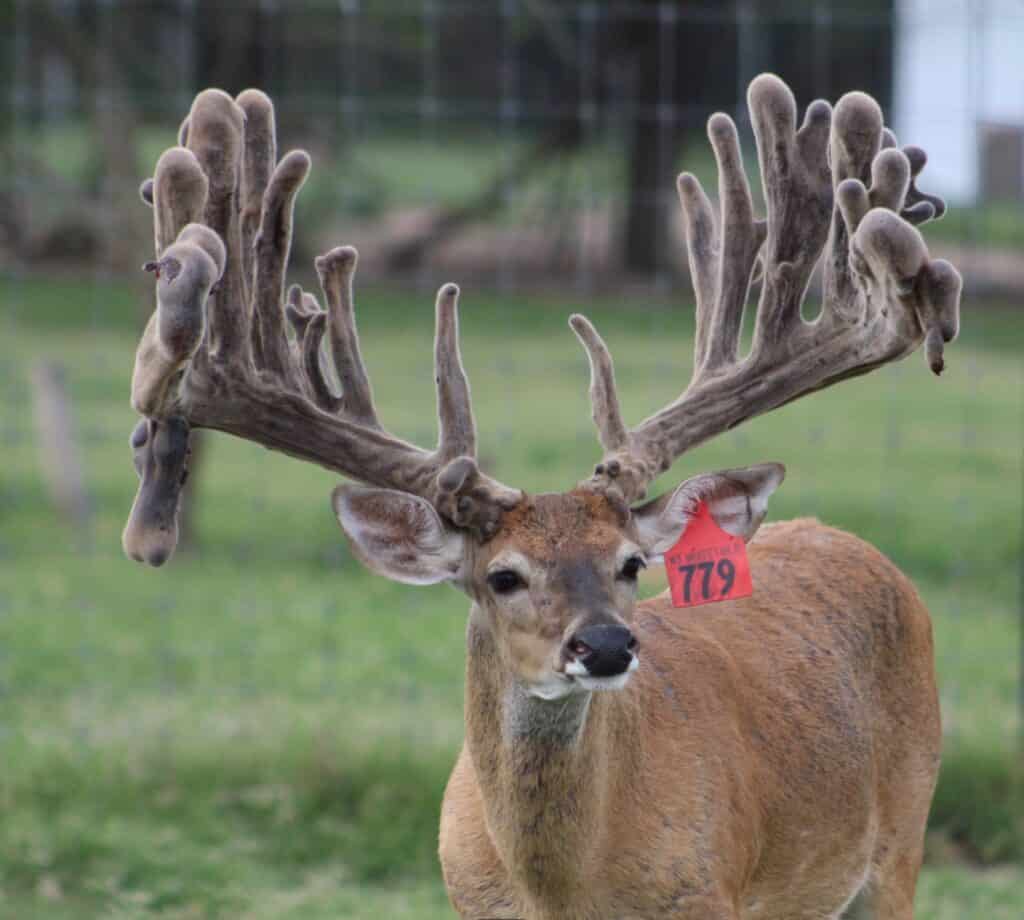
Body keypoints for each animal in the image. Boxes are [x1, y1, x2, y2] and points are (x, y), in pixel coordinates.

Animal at [122, 74, 959, 919]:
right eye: (503, 576)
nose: (606, 646)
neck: (561, 889)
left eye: (631, 564)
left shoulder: (710, 895)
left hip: (901, 840)